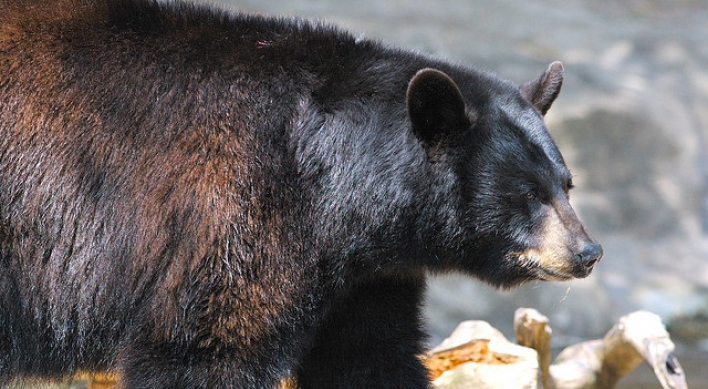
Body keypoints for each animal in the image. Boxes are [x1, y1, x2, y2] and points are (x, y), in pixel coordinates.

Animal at [0, 0, 604, 388]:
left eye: (566, 184)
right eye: (528, 193)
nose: (588, 252)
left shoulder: (366, 275)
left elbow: (368, 357)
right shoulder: (241, 212)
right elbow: (202, 350)